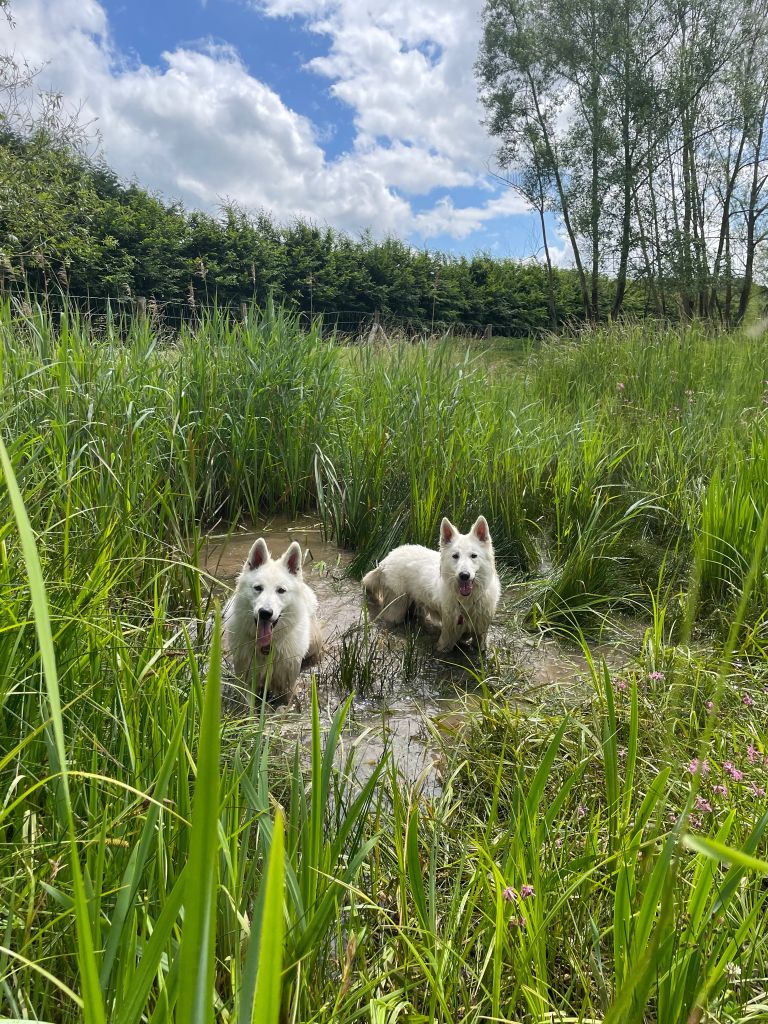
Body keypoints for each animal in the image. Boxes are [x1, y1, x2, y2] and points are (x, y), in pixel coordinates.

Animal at [222, 536, 321, 696]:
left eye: (281, 590)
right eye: (258, 588)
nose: (265, 613)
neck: (266, 648)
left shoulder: (288, 684)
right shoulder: (245, 680)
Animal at [362, 516, 501, 651]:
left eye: (473, 556)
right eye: (455, 556)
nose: (464, 575)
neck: (467, 601)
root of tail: (387, 558)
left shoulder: (481, 630)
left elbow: (480, 646)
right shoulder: (448, 634)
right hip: (397, 608)